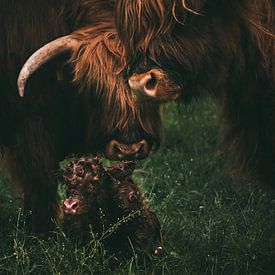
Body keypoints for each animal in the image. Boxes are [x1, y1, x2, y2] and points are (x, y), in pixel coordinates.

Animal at [0, 0, 162, 235]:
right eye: (92, 86)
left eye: (149, 85)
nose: (129, 149)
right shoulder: (30, 124)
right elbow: (40, 179)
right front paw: (43, 230)